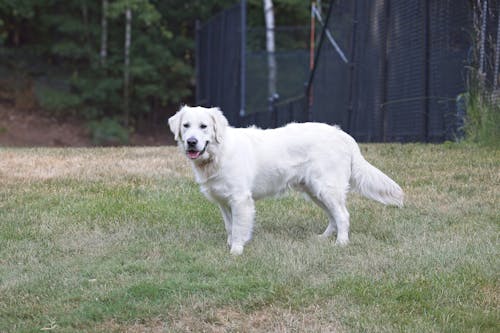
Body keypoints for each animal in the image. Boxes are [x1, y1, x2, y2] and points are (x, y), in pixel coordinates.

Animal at [168, 105, 402, 254]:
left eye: (204, 126)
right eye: (186, 126)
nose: (191, 142)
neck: (219, 153)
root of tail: (342, 134)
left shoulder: (241, 199)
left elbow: (239, 227)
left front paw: (236, 250)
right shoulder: (224, 202)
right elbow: (230, 226)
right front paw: (230, 243)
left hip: (327, 188)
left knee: (343, 215)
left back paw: (341, 243)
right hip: (315, 192)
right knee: (333, 217)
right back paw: (324, 238)